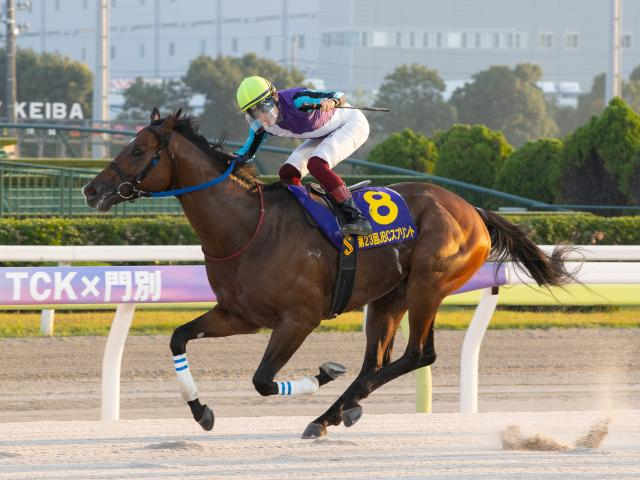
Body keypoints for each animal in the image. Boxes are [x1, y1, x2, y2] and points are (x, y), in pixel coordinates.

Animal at [83, 109, 575, 438]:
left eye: (139, 149)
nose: (91, 189)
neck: (248, 227)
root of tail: (472, 209)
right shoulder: (238, 315)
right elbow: (178, 338)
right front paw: (201, 412)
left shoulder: (299, 318)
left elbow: (264, 381)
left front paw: (324, 373)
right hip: (389, 295)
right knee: (378, 360)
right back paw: (338, 411)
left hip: (428, 285)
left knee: (418, 355)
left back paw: (334, 410)